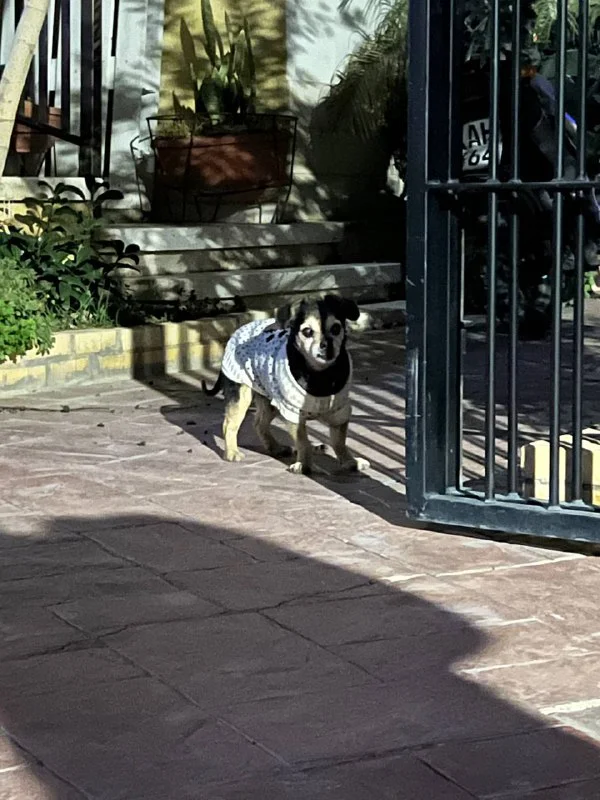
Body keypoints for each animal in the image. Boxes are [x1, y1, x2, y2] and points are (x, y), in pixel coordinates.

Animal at [202, 294, 370, 475]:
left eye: (336, 328)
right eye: (307, 331)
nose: (326, 345)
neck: (320, 374)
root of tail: (237, 332)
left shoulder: (339, 412)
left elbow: (339, 442)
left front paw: (350, 462)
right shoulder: (293, 414)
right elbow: (303, 442)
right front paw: (304, 464)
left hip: (270, 401)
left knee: (259, 424)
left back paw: (276, 448)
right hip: (242, 396)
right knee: (229, 424)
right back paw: (232, 452)